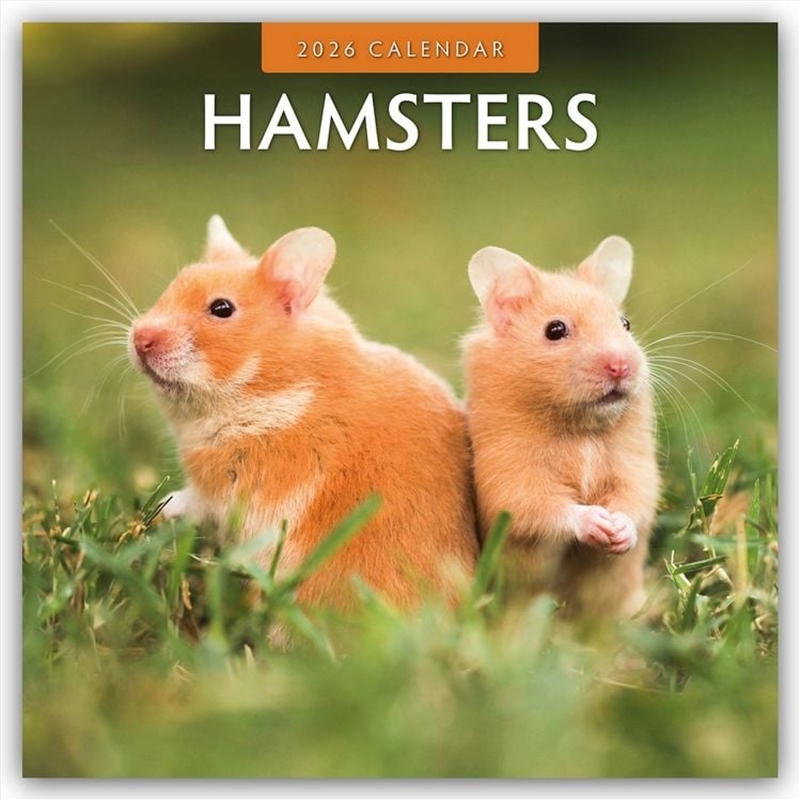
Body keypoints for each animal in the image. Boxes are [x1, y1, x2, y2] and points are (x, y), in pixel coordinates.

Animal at [130, 216, 478, 613]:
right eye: (173, 286)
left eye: (222, 308)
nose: (139, 338)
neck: (275, 390)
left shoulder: (234, 488)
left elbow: (196, 501)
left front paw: (162, 509)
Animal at [462, 236, 660, 620]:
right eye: (555, 330)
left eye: (625, 323)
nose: (621, 365)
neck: (581, 429)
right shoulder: (512, 478)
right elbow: (544, 508)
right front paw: (598, 523)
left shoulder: (634, 466)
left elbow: (636, 499)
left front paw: (619, 531)